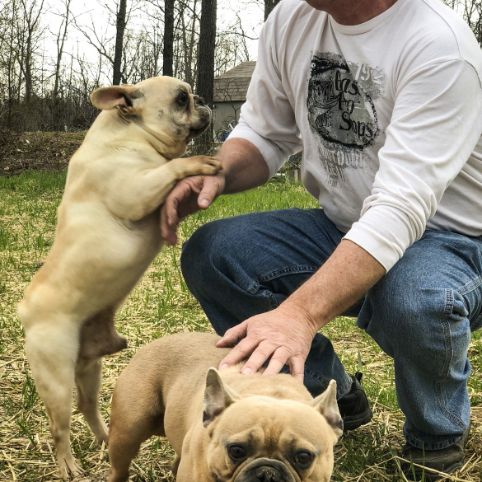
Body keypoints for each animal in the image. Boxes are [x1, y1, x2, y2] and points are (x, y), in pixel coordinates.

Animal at [17, 75, 222, 478]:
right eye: (181, 98)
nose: (204, 98)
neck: (132, 134)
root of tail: (25, 311)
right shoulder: (137, 191)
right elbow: (173, 168)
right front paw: (197, 162)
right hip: (55, 376)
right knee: (59, 426)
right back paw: (68, 464)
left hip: (89, 369)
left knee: (88, 406)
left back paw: (104, 438)